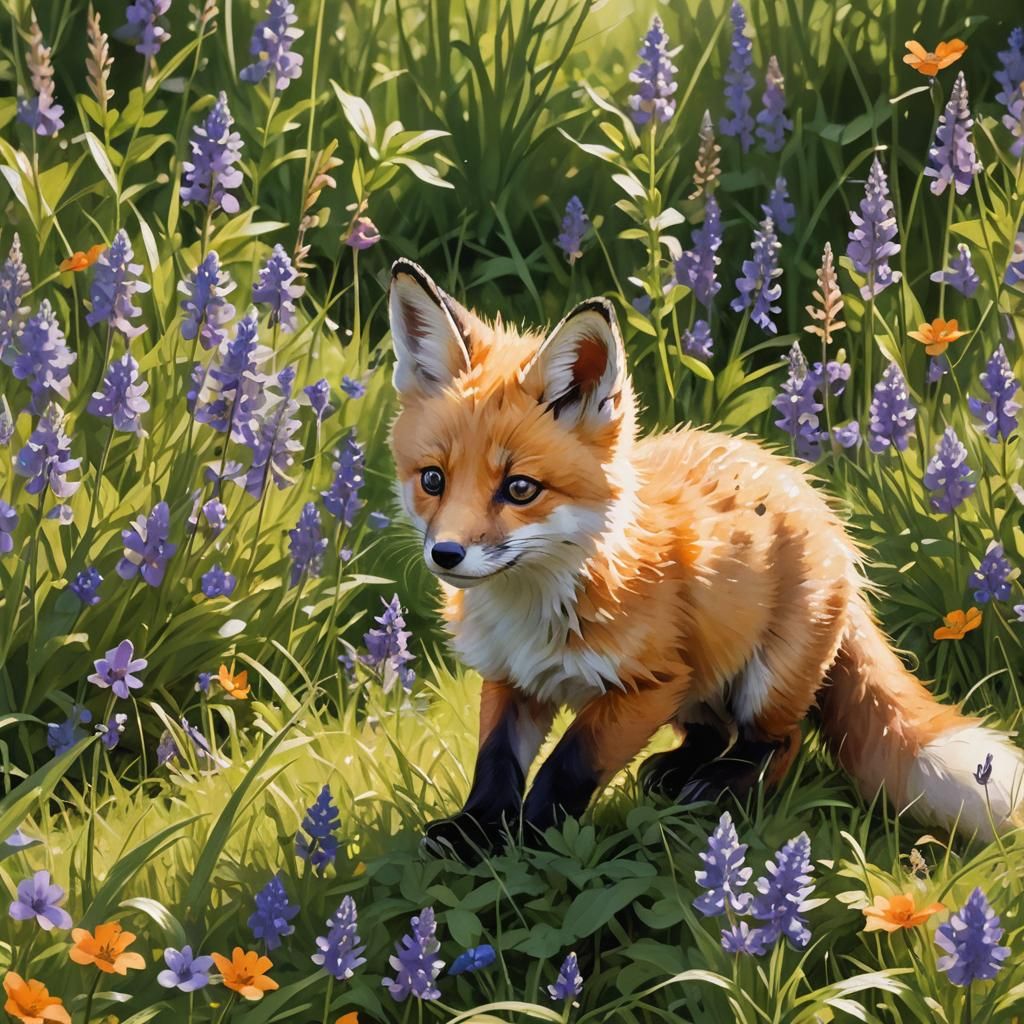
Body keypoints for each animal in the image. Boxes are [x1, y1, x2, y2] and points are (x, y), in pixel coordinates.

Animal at [386, 257, 1024, 857]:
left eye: (520, 488)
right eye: (433, 479)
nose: (447, 554)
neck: (537, 608)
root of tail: (811, 497)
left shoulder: (648, 684)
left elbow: (565, 767)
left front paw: (538, 837)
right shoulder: (510, 678)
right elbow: (495, 764)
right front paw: (476, 833)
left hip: (759, 680)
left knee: (777, 742)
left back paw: (719, 786)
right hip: (699, 679)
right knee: (713, 734)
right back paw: (674, 772)